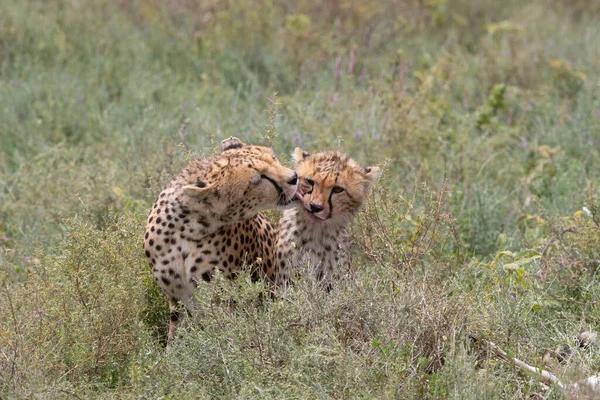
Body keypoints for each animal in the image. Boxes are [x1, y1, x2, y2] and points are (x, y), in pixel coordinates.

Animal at [144, 137, 298, 344]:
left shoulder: (226, 300)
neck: (188, 227)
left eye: (274, 158)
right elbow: (177, 338)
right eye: (260, 179)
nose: (295, 177)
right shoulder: (177, 298)